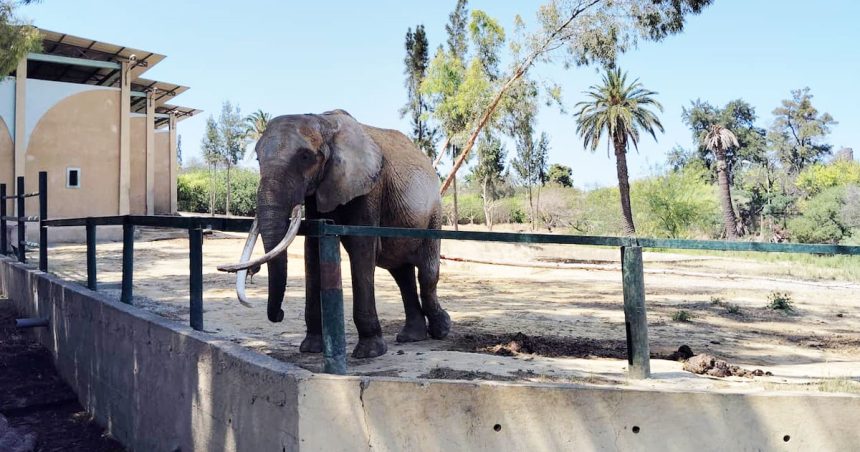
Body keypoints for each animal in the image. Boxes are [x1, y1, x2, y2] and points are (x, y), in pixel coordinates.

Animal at [218, 109, 451, 358]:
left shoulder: (369, 187)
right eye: (258, 159)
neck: (324, 121)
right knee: (401, 273)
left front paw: (369, 352)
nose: (279, 315)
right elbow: (312, 248)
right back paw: (411, 337)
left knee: (426, 273)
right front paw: (311, 348)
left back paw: (441, 330)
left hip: (434, 213)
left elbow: (362, 247)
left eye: (305, 157)